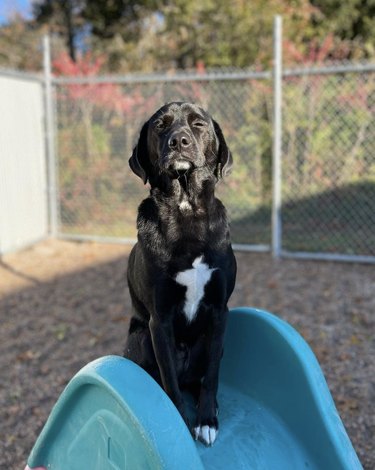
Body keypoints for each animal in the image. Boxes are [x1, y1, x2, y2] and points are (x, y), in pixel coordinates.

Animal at [125, 101, 236, 446]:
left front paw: (206, 420)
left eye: (198, 124)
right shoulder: (158, 321)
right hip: (139, 339)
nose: (179, 142)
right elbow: (170, 383)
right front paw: (181, 424)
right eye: (160, 126)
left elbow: (212, 375)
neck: (186, 210)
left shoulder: (219, 312)